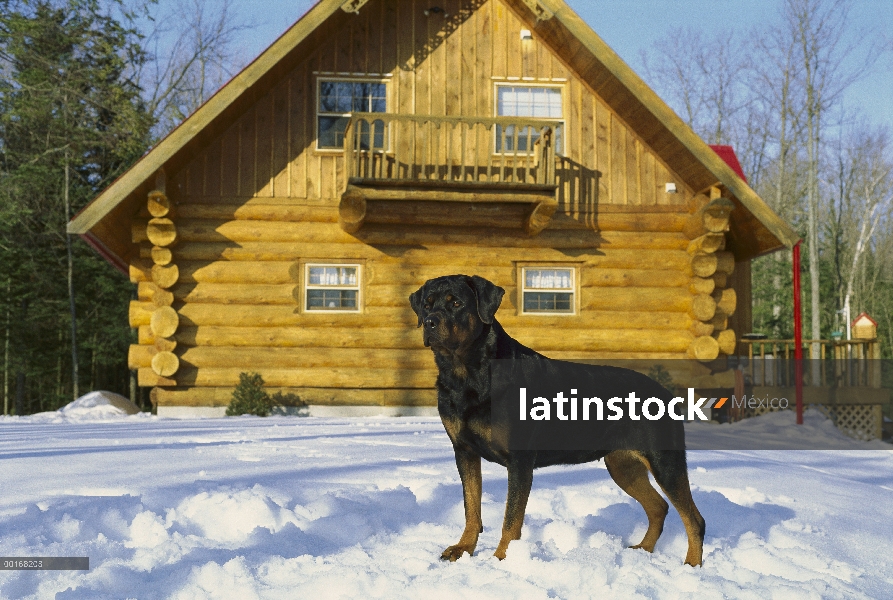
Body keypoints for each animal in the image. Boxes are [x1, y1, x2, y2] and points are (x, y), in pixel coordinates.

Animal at [410, 274, 704, 564]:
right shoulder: (464, 451)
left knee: (693, 518)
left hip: (663, 459)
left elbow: (511, 518)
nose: (429, 322)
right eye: (426, 304)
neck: (466, 373)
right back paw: (642, 549)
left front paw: (502, 558)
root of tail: (666, 393)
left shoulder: (519, 460)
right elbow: (471, 507)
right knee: (659, 507)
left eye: (456, 303)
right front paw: (463, 549)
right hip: (622, 464)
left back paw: (691, 564)